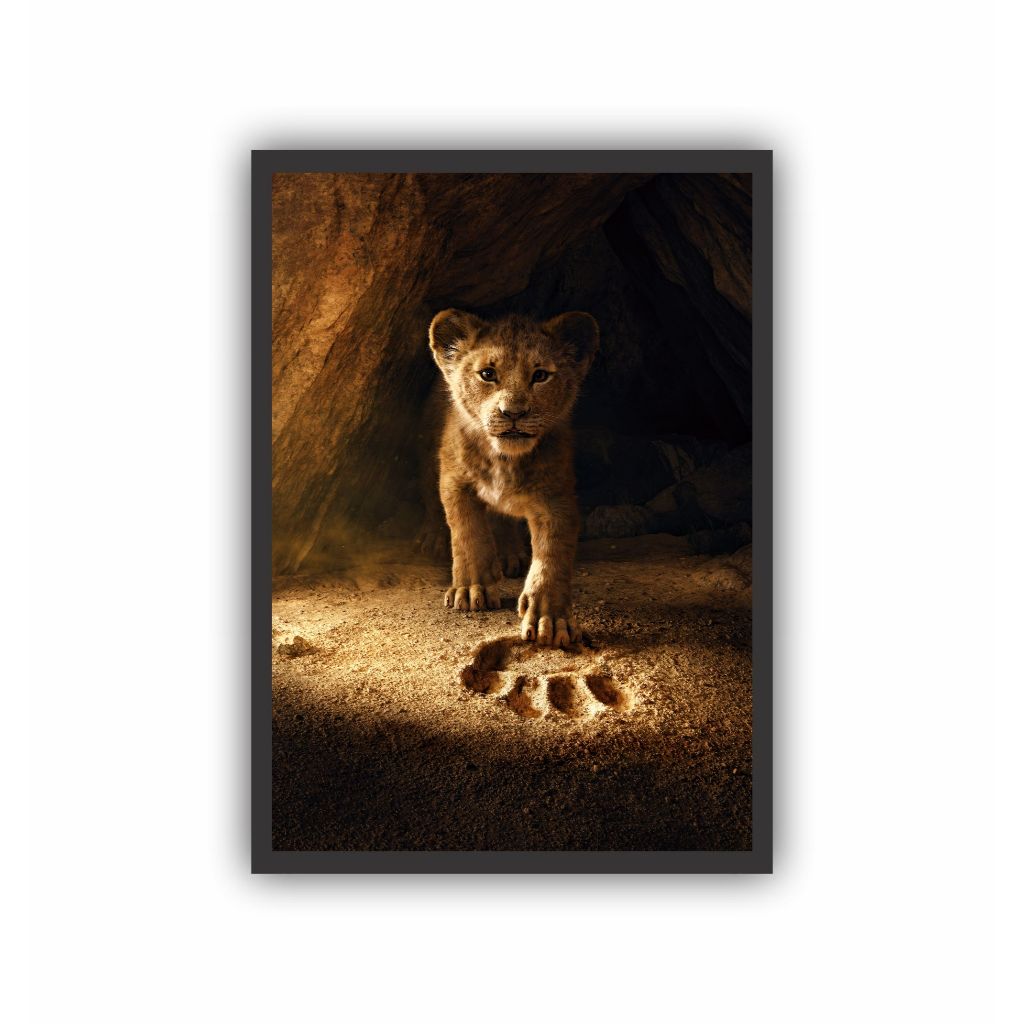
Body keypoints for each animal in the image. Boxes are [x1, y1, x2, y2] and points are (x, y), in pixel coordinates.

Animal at [426, 308, 599, 648]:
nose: (513, 413)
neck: (504, 459)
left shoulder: (556, 497)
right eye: (487, 374)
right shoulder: (454, 481)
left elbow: (552, 555)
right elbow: (468, 533)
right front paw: (472, 589)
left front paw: (550, 618)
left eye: (541, 375)